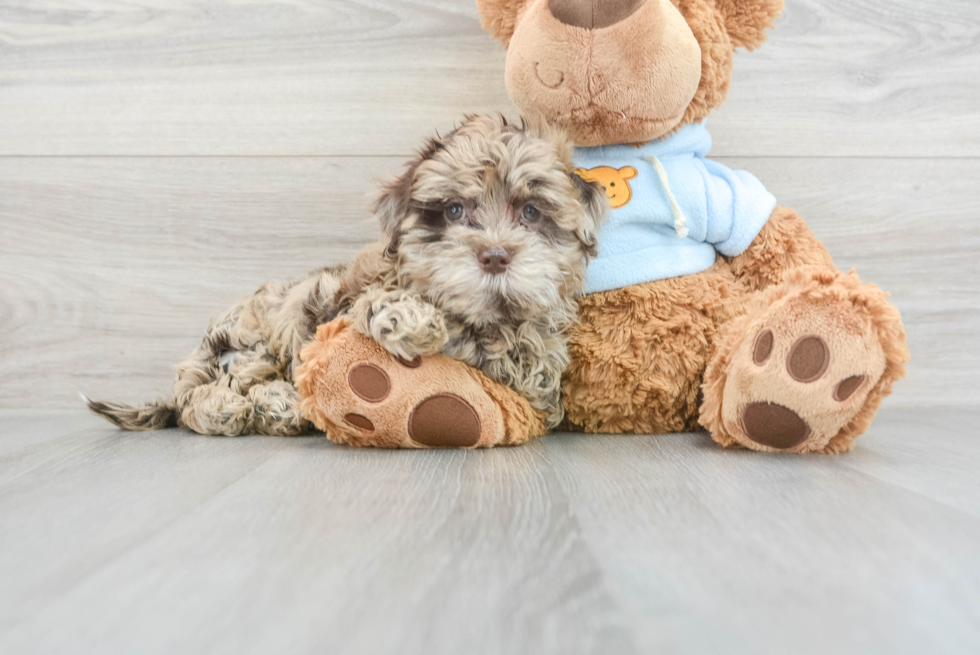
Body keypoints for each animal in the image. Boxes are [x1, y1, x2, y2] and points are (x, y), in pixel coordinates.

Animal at [90, 115, 604, 438]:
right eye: (455, 211)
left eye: (531, 212)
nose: (495, 257)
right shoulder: (347, 300)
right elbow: (379, 305)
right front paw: (418, 321)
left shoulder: (535, 374)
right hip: (251, 342)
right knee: (198, 399)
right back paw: (244, 406)